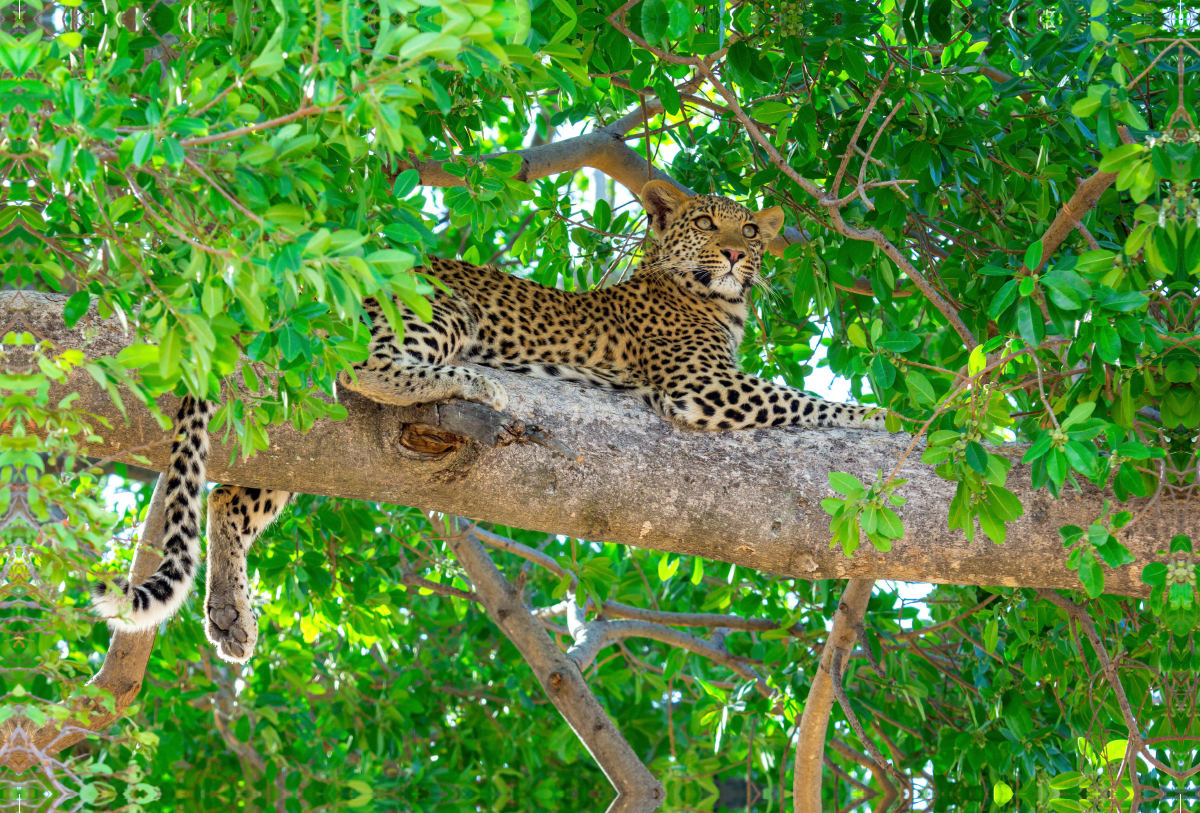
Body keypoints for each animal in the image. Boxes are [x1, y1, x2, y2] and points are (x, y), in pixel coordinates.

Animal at [93, 181, 888, 666]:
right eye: (705, 223)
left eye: (750, 227)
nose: (733, 252)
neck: (715, 299)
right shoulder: (702, 387)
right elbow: (806, 400)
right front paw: (885, 416)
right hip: (444, 309)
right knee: (366, 367)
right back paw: (472, 382)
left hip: (299, 447)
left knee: (230, 495)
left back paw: (229, 613)